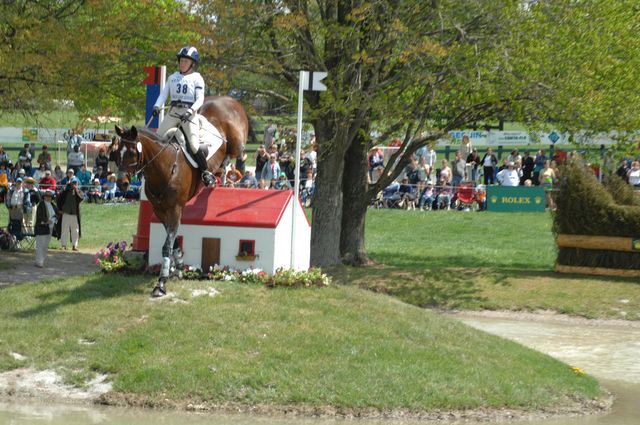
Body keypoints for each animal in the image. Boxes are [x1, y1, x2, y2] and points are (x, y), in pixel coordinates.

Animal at [112, 95, 248, 294]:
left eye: (131, 153)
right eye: (116, 153)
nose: (121, 183)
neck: (166, 166)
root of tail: (229, 99)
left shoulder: (175, 209)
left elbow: (167, 246)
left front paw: (161, 282)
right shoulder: (160, 210)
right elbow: (173, 240)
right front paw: (179, 267)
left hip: (237, 141)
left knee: (236, 153)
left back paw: (221, 174)